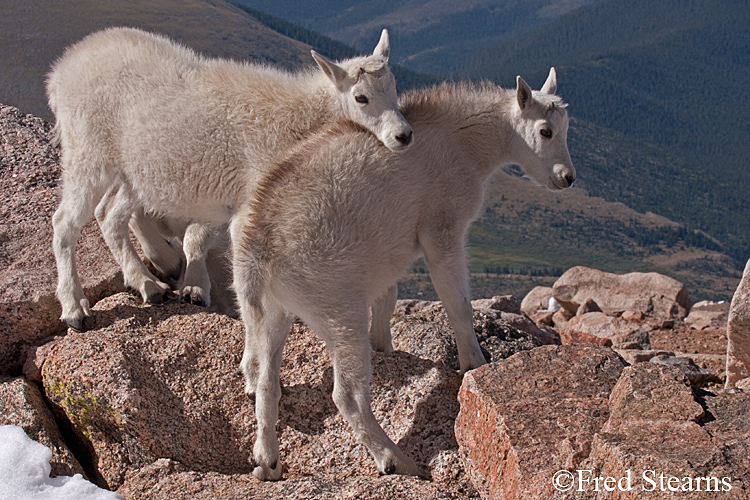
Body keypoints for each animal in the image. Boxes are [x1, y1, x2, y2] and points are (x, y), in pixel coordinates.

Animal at [47, 28, 414, 332]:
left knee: (111, 214)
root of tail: (62, 71)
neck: (301, 123)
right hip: (87, 153)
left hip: (135, 171)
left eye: (394, 87)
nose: (404, 135)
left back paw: (149, 284)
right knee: (65, 222)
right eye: (361, 97)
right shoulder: (252, 205)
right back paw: (75, 309)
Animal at [234, 68, 576, 478]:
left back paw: (267, 461)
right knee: (346, 395)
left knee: (266, 381)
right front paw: (475, 365)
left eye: (566, 127)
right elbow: (458, 306)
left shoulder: (385, 257)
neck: (466, 144)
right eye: (545, 130)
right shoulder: (442, 231)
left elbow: (389, 299)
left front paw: (387, 347)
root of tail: (258, 252)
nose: (567, 178)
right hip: (338, 309)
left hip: (273, 313)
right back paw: (396, 459)